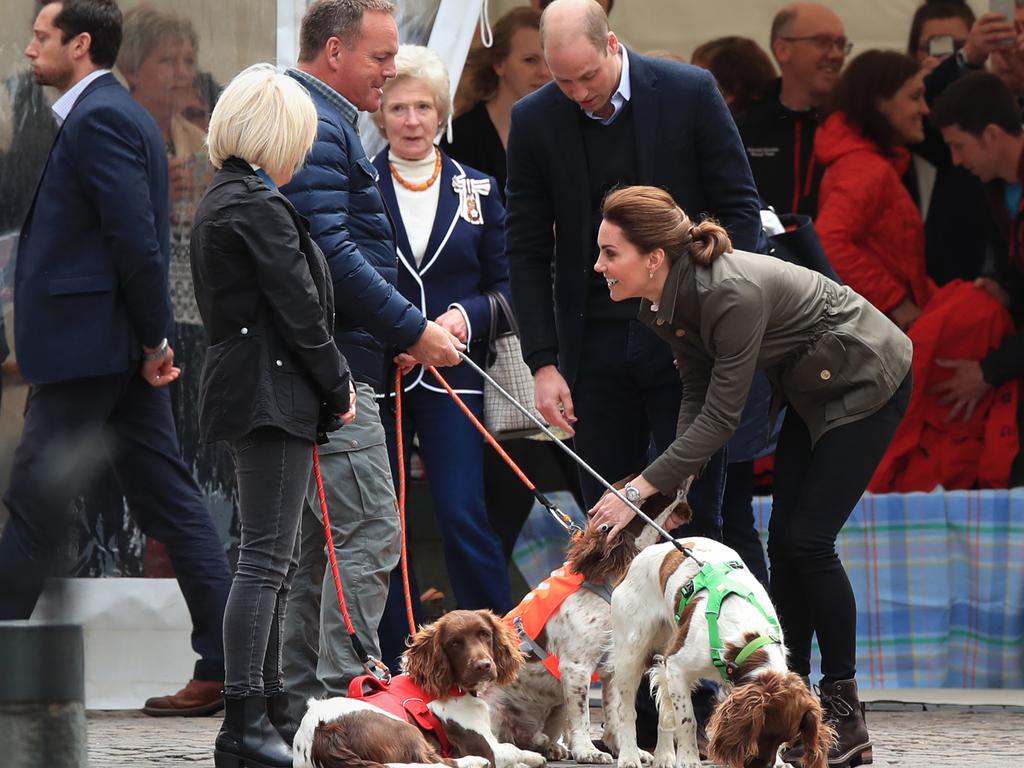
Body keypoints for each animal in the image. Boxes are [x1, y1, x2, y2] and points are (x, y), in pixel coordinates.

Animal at [606, 536, 831, 768]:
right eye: (761, 733)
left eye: (783, 739)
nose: (761, 765)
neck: (746, 638)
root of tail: (636, 559)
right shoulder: (677, 667)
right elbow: (687, 720)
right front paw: (689, 759)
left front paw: (778, 761)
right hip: (630, 653)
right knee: (626, 711)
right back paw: (629, 756)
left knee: (665, 710)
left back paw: (664, 756)